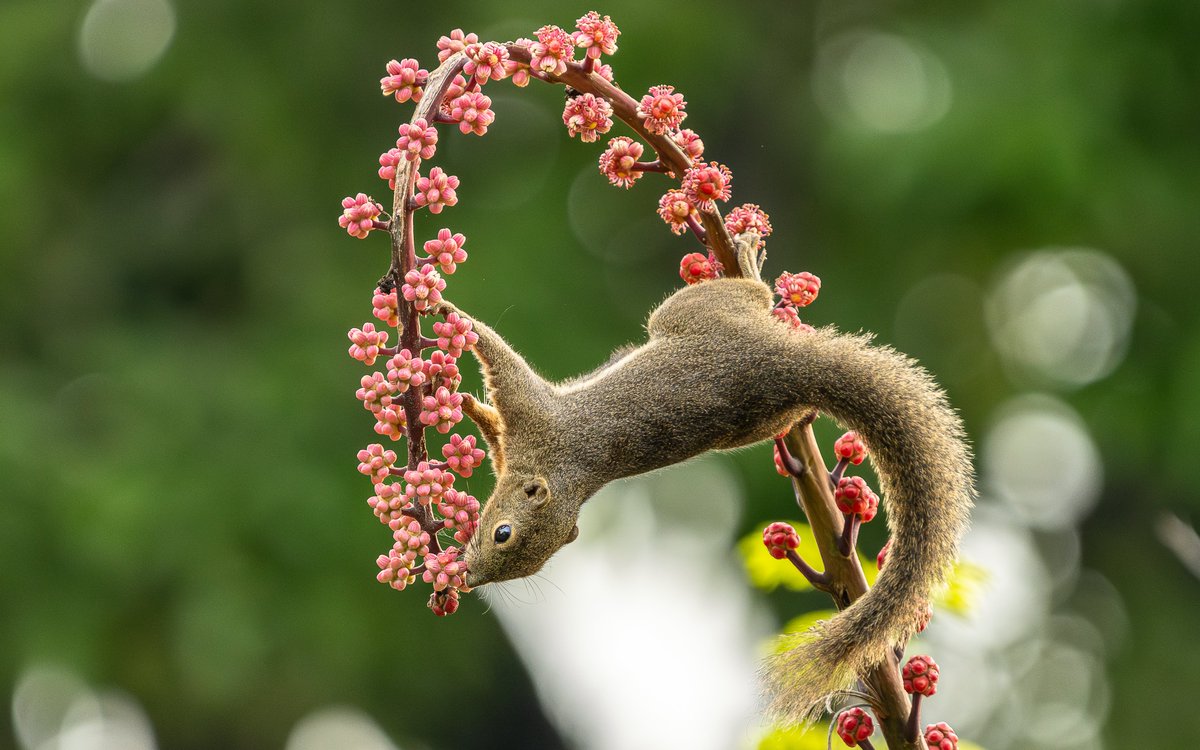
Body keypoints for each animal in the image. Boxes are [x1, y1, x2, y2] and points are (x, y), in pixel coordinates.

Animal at [441, 235, 974, 724]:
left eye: (504, 535)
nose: (469, 577)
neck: (563, 476)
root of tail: (785, 367)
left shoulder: (537, 419)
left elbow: (499, 361)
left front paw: (449, 314)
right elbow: (495, 429)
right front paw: (471, 402)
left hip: (693, 312)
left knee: (747, 294)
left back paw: (748, 259)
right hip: (757, 421)